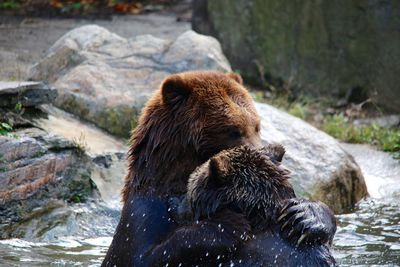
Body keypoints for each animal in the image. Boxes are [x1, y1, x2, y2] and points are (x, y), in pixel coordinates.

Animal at [102, 71, 338, 267]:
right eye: (233, 130)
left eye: (256, 125)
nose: (264, 152)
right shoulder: (144, 212)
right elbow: (140, 256)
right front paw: (229, 225)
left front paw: (304, 215)